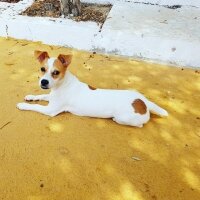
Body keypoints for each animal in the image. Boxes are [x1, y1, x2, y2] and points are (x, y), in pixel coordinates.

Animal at [16, 50, 169, 127]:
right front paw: (30, 96)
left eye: (56, 72)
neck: (62, 85)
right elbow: (41, 96)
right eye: (42, 69)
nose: (44, 82)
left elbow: (36, 106)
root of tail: (144, 102)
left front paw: (23, 105)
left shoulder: (51, 110)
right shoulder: (51, 98)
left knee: (138, 125)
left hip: (125, 117)